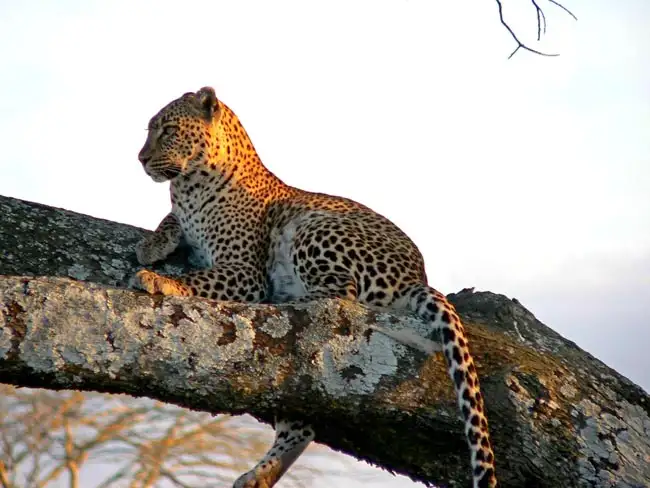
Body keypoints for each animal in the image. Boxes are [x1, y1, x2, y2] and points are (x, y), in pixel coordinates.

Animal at [133, 86, 496, 486]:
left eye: (168, 130)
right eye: (151, 130)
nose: (141, 158)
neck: (188, 186)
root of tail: (418, 276)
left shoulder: (246, 272)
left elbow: (199, 279)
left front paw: (158, 278)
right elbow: (170, 221)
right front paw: (152, 245)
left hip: (314, 226)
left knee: (341, 293)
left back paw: (286, 300)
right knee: (301, 425)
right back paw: (261, 475)